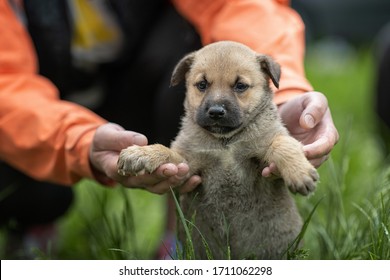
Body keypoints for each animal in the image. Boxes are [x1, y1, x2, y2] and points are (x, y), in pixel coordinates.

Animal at [117, 40, 318, 260]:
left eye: (240, 86)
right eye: (202, 85)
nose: (215, 112)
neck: (225, 143)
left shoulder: (266, 154)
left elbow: (283, 145)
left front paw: (299, 173)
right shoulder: (188, 164)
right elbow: (165, 150)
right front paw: (141, 154)